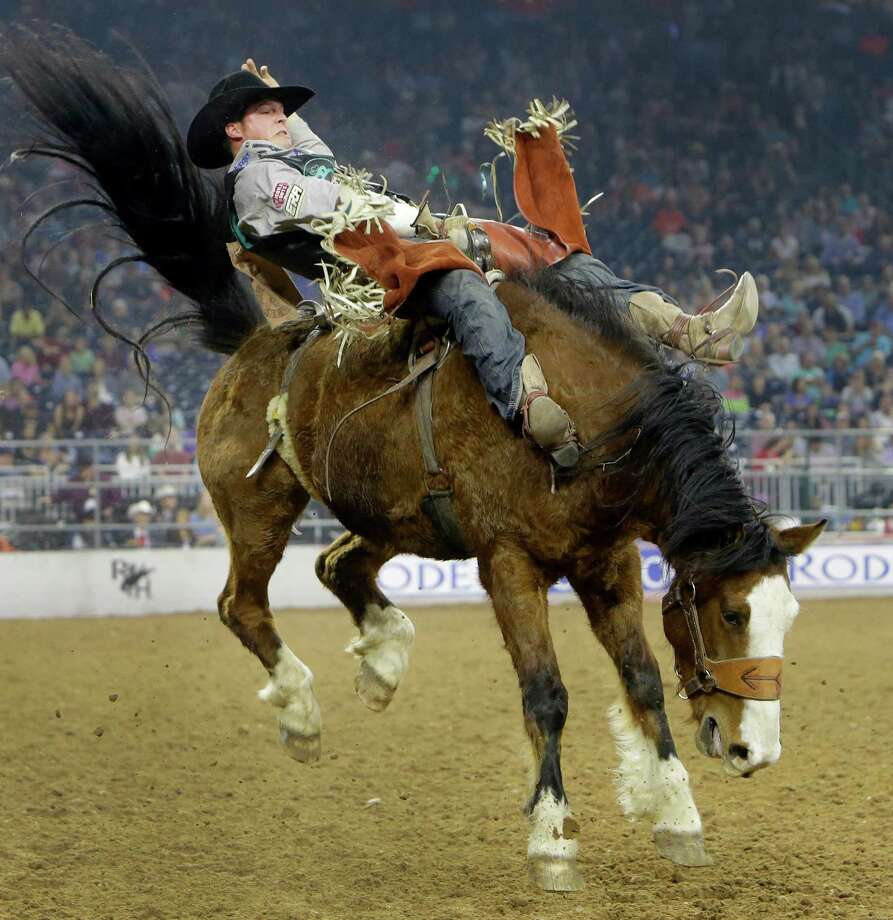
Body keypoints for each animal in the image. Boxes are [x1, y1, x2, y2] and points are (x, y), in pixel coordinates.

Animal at [3, 27, 825, 892]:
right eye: (732, 613)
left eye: (787, 613)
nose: (752, 749)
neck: (596, 418)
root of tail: (260, 338)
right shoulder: (508, 563)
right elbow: (546, 693)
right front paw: (553, 839)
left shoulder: (607, 559)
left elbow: (639, 679)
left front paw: (673, 813)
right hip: (259, 509)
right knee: (242, 604)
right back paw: (303, 713)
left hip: (389, 515)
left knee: (337, 565)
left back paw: (384, 658)